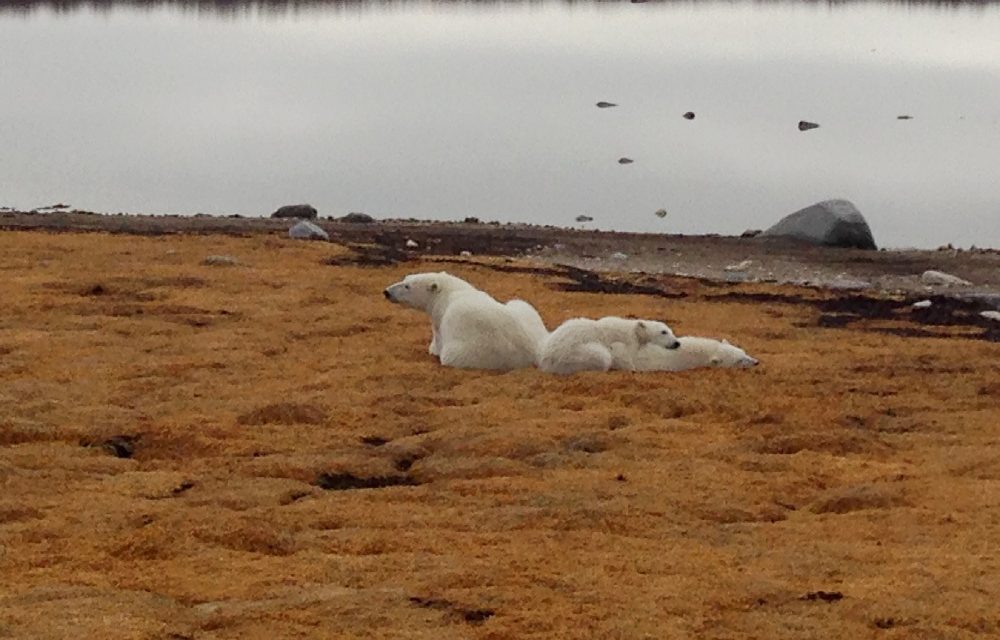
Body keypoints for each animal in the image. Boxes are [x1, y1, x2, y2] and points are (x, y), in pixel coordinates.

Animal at [383, 272, 548, 370]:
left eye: (407, 286)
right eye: (405, 278)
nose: (387, 292)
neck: (450, 291)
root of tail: (535, 350)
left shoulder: (443, 316)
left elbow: (438, 339)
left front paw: (433, 349)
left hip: (485, 349)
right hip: (527, 314)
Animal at [538, 316, 680, 375]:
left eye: (671, 330)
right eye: (663, 332)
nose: (677, 343)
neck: (634, 331)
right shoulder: (624, 341)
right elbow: (620, 353)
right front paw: (632, 369)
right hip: (572, 354)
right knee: (602, 356)